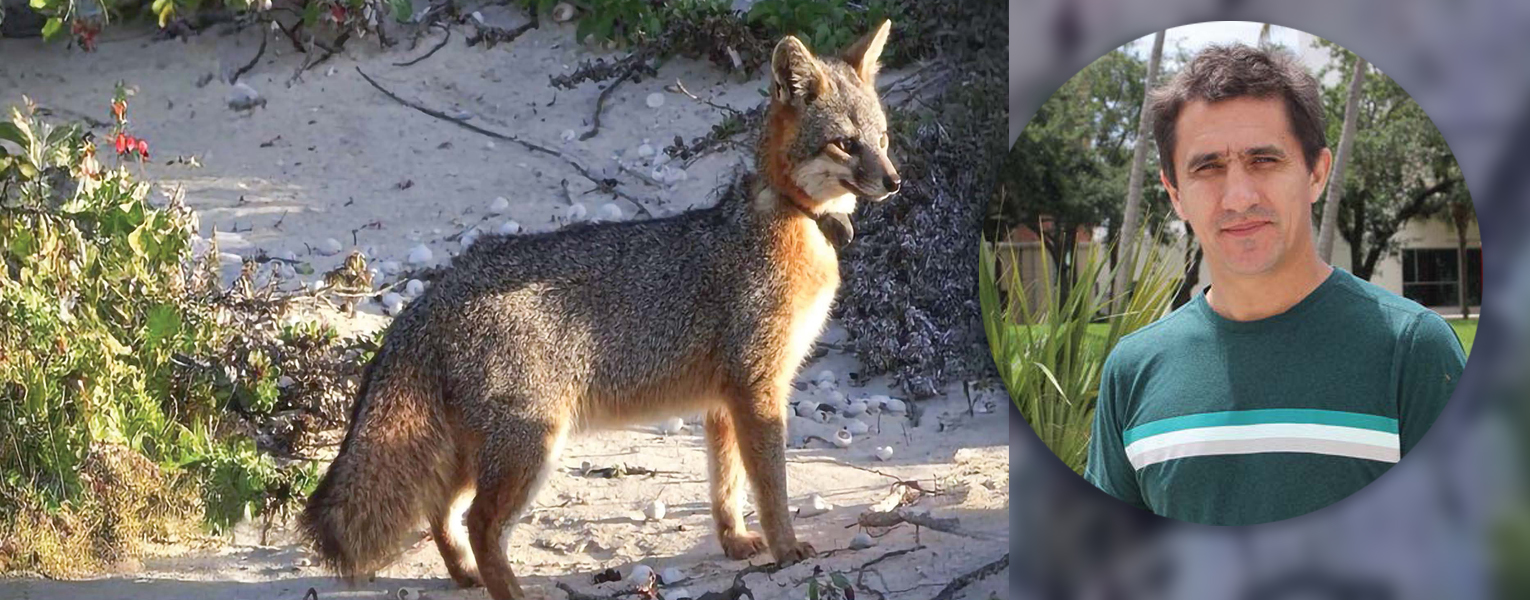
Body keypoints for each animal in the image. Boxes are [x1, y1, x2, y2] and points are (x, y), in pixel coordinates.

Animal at [298, 20, 901, 600]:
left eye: (883, 139)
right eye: (845, 144)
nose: (895, 180)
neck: (789, 221)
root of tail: (437, 289)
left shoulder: (722, 403)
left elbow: (725, 486)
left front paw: (734, 542)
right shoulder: (757, 388)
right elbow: (771, 486)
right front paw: (786, 548)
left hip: (482, 449)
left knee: (441, 509)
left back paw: (466, 576)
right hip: (530, 445)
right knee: (479, 523)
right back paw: (514, 593)